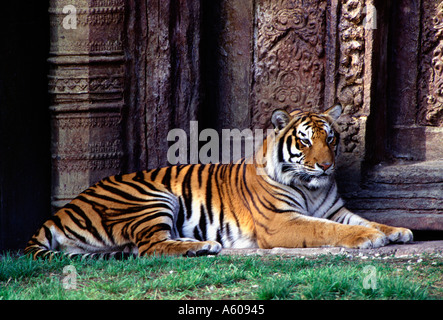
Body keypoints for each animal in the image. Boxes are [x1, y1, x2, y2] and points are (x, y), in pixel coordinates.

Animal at [23, 105, 412, 260]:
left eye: (330, 138)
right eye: (304, 142)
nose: (327, 166)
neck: (311, 186)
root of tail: (59, 213)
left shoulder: (335, 210)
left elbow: (364, 219)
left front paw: (397, 230)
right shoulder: (281, 223)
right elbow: (327, 230)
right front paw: (369, 238)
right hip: (152, 197)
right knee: (149, 247)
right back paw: (203, 247)